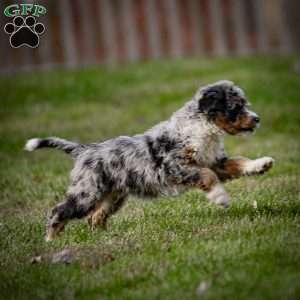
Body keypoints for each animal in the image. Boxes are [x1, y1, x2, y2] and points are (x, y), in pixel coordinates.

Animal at [25, 80, 274, 241]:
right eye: (236, 107)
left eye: (245, 104)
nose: (258, 119)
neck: (203, 128)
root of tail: (85, 149)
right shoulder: (176, 166)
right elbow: (208, 176)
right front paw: (220, 198)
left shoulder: (215, 161)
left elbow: (238, 162)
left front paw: (261, 163)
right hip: (88, 192)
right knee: (59, 210)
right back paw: (51, 241)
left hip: (113, 196)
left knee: (96, 217)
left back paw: (106, 238)